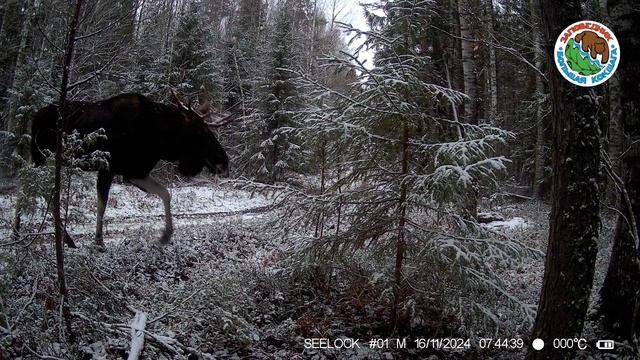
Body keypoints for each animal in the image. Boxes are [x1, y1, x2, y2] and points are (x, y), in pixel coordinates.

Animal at [31, 91, 232, 248]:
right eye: (200, 132)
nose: (224, 162)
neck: (160, 140)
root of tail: (33, 118)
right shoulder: (112, 168)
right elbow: (102, 204)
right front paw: (99, 241)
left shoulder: (134, 171)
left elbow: (165, 193)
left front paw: (166, 234)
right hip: (42, 159)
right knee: (41, 192)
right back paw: (66, 238)